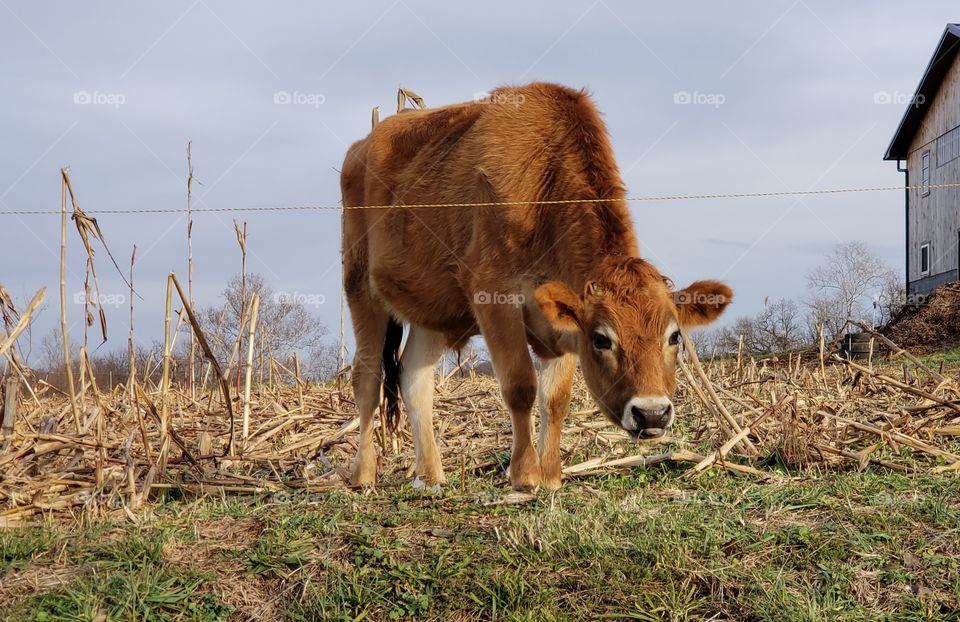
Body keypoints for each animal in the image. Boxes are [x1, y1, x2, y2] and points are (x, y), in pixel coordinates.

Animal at [342, 83, 732, 492]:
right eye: (602, 339)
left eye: (674, 336)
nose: (652, 413)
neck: (544, 192)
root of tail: (364, 144)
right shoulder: (494, 296)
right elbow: (520, 385)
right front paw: (525, 473)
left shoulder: (558, 318)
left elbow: (555, 398)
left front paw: (551, 475)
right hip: (360, 288)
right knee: (366, 379)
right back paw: (363, 474)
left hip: (430, 310)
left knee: (414, 379)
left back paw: (431, 475)